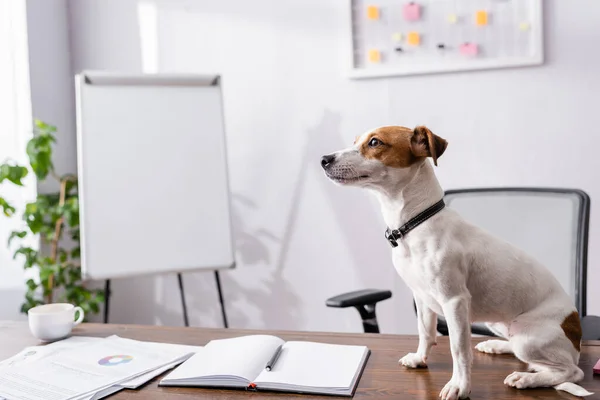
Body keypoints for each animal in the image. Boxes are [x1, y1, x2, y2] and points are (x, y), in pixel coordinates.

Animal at [322, 126, 592, 400]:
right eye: (355, 140)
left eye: (375, 142)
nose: (324, 159)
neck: (415, 223)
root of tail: (577, 336)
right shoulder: (421, 297)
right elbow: (425, 331)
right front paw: (420, 358)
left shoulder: (454, 302)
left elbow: (458, 349)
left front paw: (459, 386)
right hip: (499, 324)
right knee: (526, 355)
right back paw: (497, 346)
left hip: (528, 337)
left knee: (568, 371)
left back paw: (527, 378)